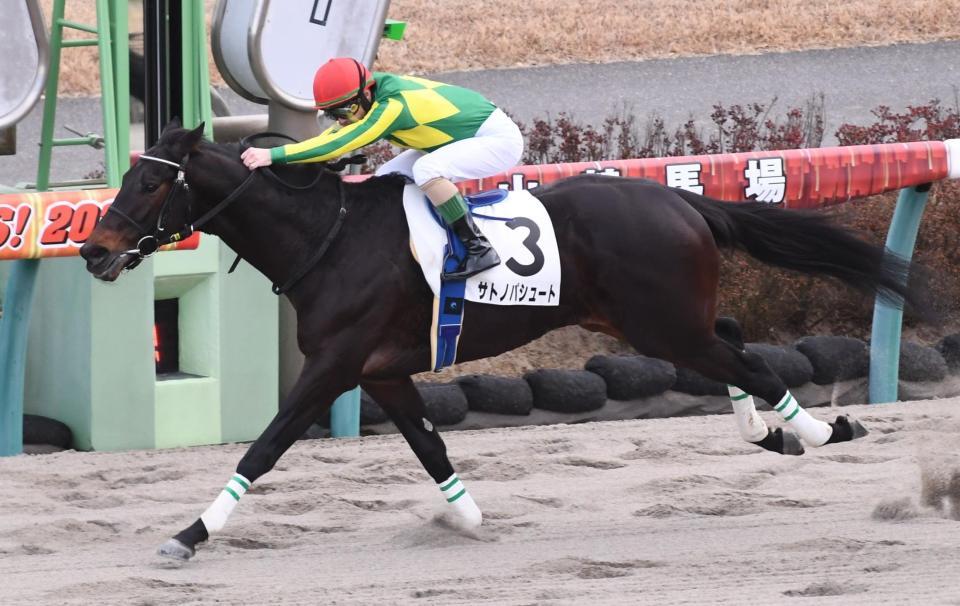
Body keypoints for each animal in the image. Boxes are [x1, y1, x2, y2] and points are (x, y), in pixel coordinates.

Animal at [79, 123, 918, 561]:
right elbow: (429, 446)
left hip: (657, 319)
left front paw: (190, 533)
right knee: (734, 340)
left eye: (150, 183)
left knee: (745, 358)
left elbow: (266, 446)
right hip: (645, 318)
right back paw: (769, 433)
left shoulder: (335, 364)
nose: (92, 249)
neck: (328, 238)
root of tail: (684, 202)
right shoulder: (381, 372)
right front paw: (468, 519)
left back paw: (822, 428)